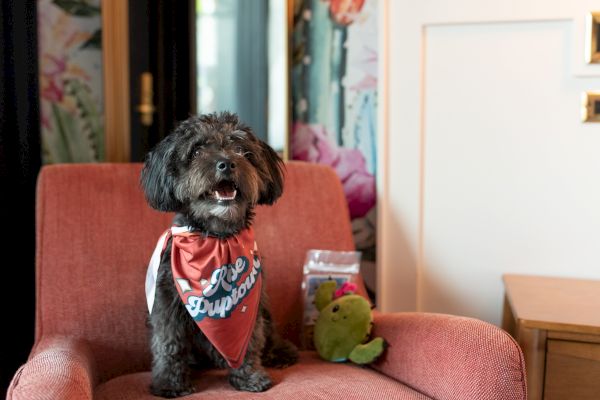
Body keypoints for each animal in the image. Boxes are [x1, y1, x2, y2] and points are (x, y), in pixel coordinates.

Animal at [141, 111, 300, 396]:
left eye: (241, 149)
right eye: (197, 150)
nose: (226, 164)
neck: (217, 240)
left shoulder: (253, 309)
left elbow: (250, 343)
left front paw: (249, 378)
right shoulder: (166, 302)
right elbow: (168, 343)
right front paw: (169, 383)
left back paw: (282, 353)